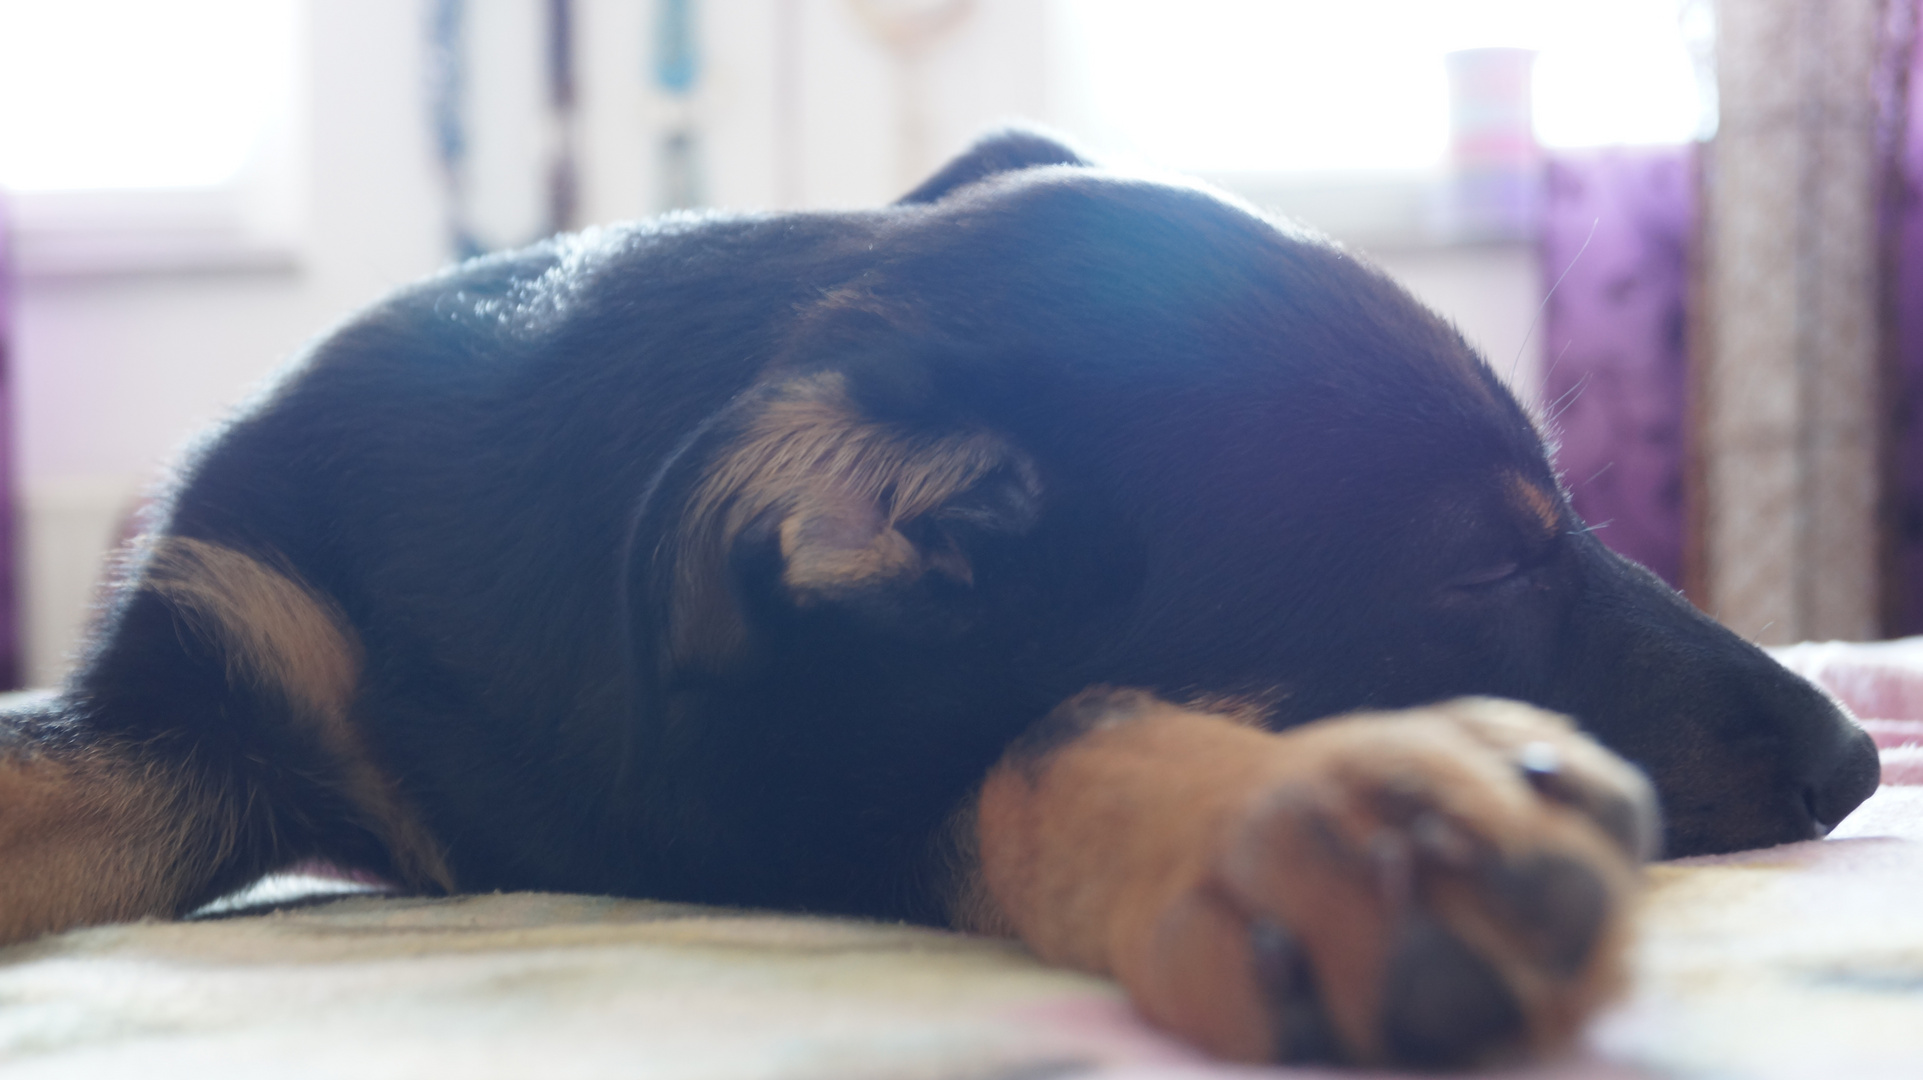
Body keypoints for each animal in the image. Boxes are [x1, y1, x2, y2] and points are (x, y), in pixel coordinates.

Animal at [0, 132, 1876, 1060]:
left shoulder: (765, 794)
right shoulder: (193, 700)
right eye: (1484, 561)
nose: (1857, 761)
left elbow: (1026, 734)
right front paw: (1322, 819)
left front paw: (1310, 818)